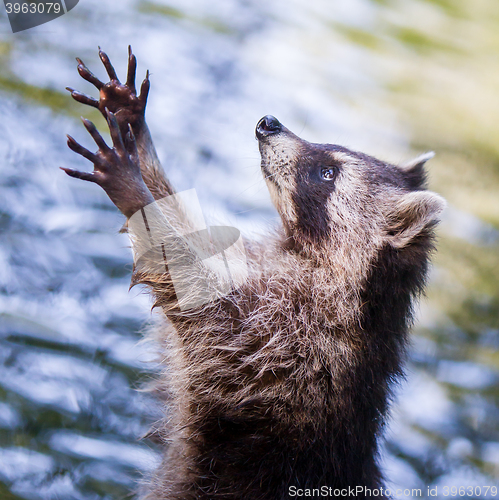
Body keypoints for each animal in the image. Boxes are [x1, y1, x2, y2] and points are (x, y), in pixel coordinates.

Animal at [63, 47, 446, 500]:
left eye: (328, 173)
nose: (269, 123)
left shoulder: (292, 346)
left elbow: (200, 301)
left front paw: (133, 187)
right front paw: (136, 135)